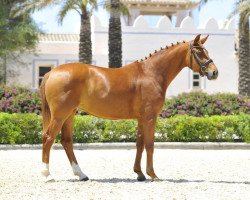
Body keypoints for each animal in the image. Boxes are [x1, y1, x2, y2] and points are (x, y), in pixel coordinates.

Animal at [40, 34, 218, 181]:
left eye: (206, 51)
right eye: (200, 52)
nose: (214, 72)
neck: (150, 73)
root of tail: (51, 73)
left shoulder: (141, 118)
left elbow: (139, 144)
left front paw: (139, 173)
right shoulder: (150, 117)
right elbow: (149, 145)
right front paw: (153, 174)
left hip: (70, 114)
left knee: (66, 141)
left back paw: (81, 174)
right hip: (60, 115)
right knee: (48, 138)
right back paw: (47, 175)